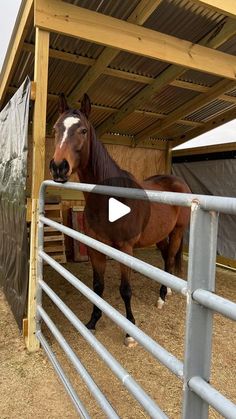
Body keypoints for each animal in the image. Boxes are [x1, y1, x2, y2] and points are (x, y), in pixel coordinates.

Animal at [49, 93, 190, 346]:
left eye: (83, 130)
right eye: (56, 129)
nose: (58, 167)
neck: (110, 198)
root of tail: (178, 182)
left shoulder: (125, 249)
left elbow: (125, 289)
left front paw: (130, 331)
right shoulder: (96, 248)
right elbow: (97, 286)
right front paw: (93, 321)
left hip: (177, 232)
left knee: (170, 258)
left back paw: (163, 297)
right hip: (160, 235)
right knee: (166, 258)